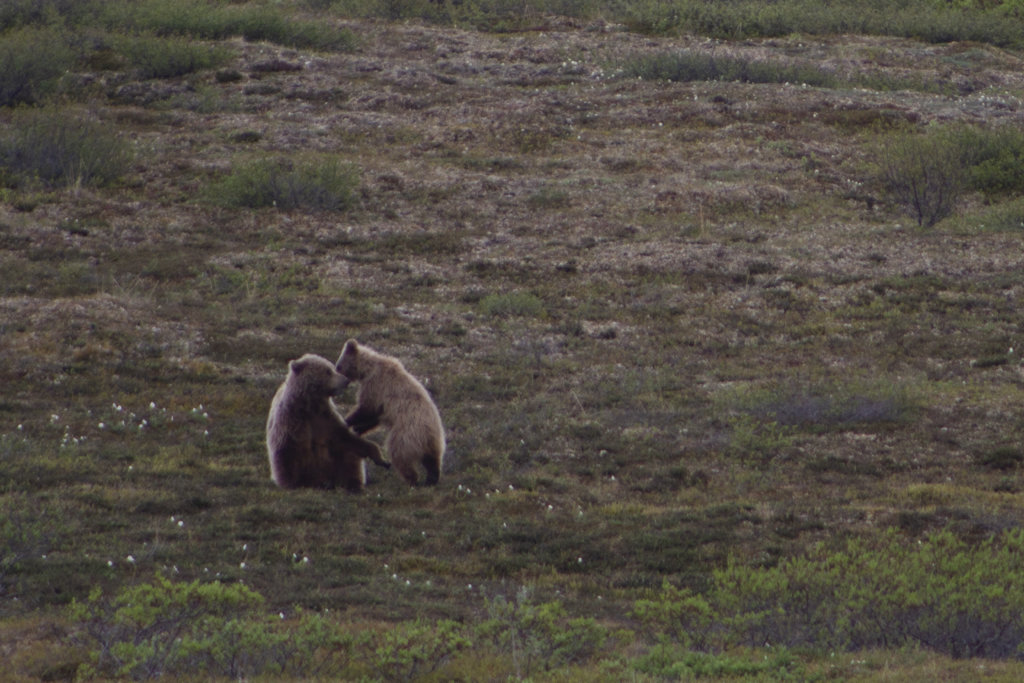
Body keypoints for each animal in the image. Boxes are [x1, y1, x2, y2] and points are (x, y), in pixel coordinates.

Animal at [266, 353, 390, 492]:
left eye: (332, 368)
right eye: (328, 371)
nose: (346, 380)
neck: (310, 405)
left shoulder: (326, 418)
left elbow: (345, 438)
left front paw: (381, 459)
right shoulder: (292, 421)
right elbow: (288, 452)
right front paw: (292, 484)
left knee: (349, 460)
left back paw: (353, 485)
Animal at [335, 339, 445, 486]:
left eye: (338, 366)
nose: (340, 381)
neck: (367, 369)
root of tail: (429, 433)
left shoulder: (376, 385)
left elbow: (366, 409)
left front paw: (348, 421)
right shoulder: (380, 401)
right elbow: (374, 416)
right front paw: (358, 428)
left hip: (406, 435)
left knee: (399, 455)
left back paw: (411, 479)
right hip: (433, 442)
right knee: (432, 460)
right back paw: (431, 479)